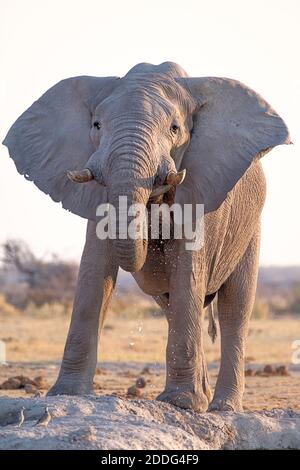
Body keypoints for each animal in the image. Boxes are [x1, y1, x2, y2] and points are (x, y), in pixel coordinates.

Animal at [2, 61, 290, 412]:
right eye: (96, 125)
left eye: (175, 128)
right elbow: (94, 270)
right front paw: (66, 394)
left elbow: (187, 271)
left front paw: (180, 404)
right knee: (172, 304)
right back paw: (204, 398)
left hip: (250, 227)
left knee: (234, 305)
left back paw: (222, 407)